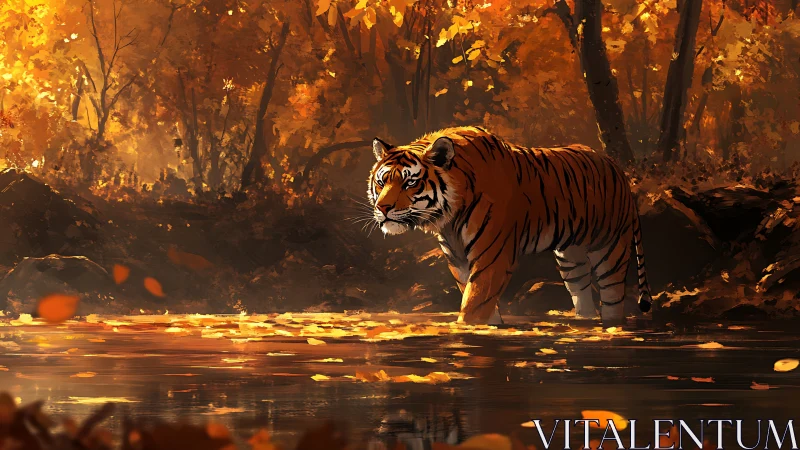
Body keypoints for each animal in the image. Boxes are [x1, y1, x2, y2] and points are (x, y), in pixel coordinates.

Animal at [367, 126, 652, 325]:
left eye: (410, 183)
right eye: (381, 182)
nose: (383, 208)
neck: (448, 217)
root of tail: (617, 167)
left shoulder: (492, 255)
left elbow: (475, 301)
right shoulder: (458, 258)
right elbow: (476, 298)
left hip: (611, 249)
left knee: (613, 298)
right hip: (571, 258)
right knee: (582, 293)